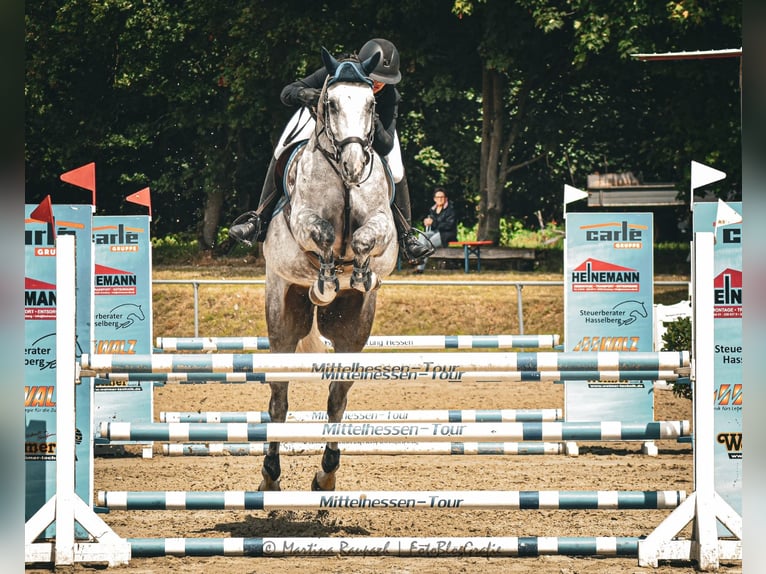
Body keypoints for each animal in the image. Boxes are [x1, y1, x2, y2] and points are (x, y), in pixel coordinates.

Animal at [260, 47, 400, 492]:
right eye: (330, 103)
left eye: (372, 105)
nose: (355, 166)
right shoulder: (302, 219)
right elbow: (320, 233)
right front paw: (325, 279)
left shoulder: (383, 226)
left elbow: (367, 240)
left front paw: (358, 273)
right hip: (282, 312)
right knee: (279, 398)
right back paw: (270, 475)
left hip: (353, 327)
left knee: (338, 396)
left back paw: (327, 473)